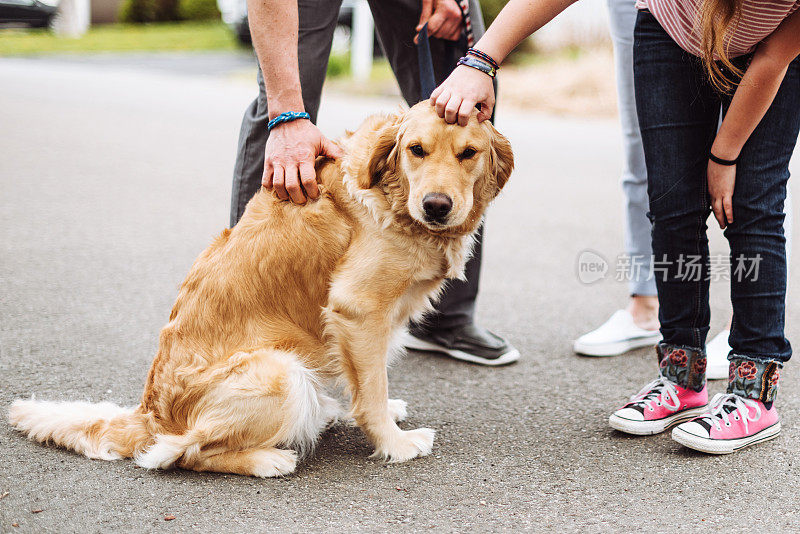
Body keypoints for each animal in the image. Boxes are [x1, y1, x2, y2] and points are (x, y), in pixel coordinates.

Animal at [7, 102, 512, 480]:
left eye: (468, 153)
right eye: (416, 150)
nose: (436, 206)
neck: (391, 194)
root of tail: (149, 414)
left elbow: (370, 381)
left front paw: (387, 412)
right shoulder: (358, 309)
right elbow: (370, 390)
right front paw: (394, 442)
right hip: (279, 372)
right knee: (181, 453)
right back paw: (268, 458)